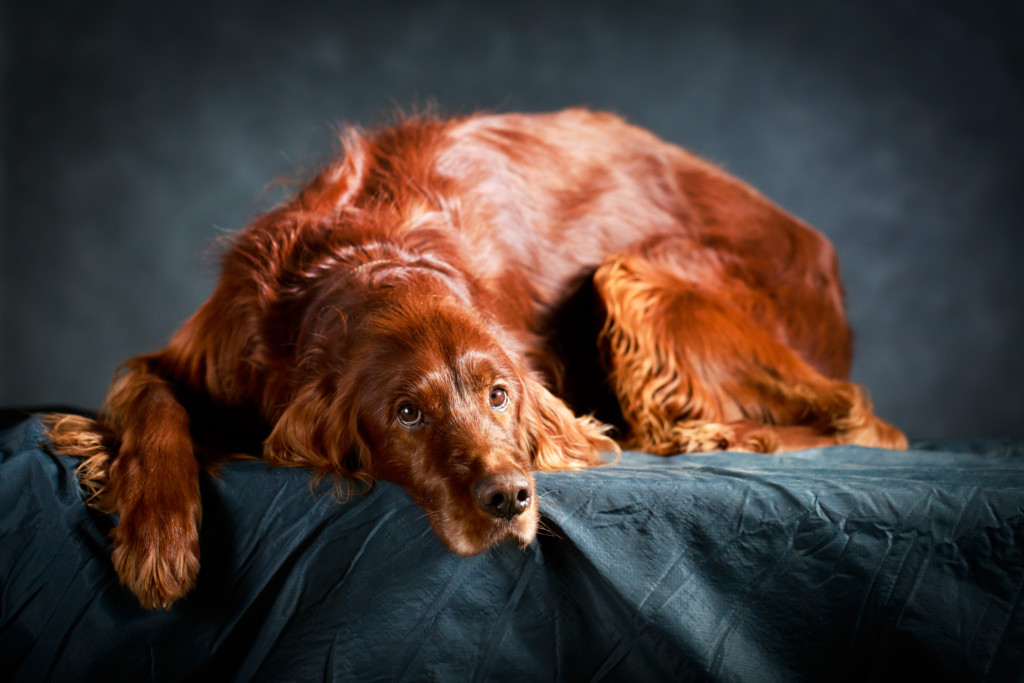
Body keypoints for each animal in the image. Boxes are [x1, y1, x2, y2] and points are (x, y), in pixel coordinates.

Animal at [48, 109, 905, 610]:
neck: (369, 252)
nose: (510, 498)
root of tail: (819, 253)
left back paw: (714, 433)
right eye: (406, 412)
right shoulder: (185, 357)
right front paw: (159, 538)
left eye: (500, 394)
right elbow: (154, 405)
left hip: (637, 276)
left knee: (861, 413)